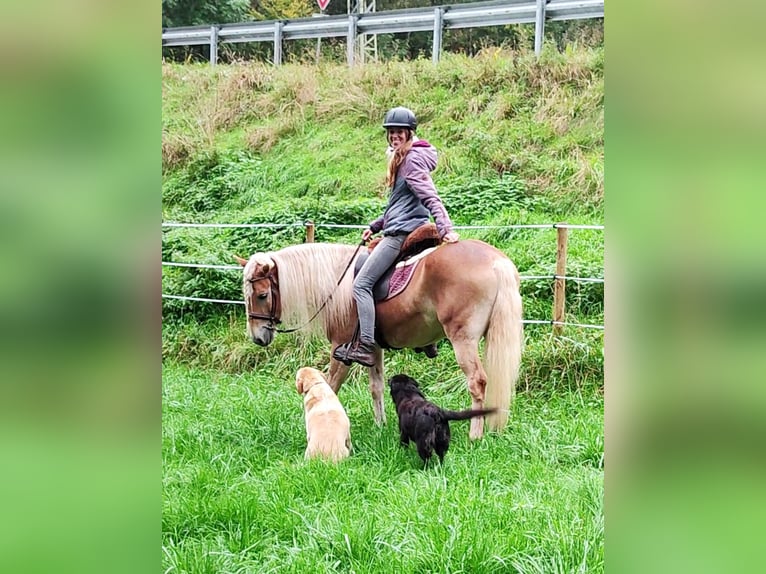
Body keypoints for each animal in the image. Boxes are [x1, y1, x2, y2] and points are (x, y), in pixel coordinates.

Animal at [237, 240, 524, 440]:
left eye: (262, 295)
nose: (258, 337)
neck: (339, 284)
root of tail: (497, 261)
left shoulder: (340, 347)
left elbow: (330, 385)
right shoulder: (372, 348)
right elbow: (376, 387)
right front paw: (380, 425)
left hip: (463, 340)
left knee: (477, 382)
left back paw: (475, 434)